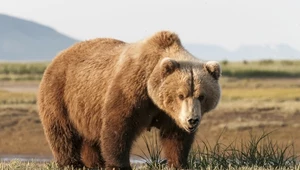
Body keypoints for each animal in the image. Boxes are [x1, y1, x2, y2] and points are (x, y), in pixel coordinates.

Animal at [37, 30, 221, 170]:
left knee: (90, 137)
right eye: (180, 95)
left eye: (201, 96)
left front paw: (179, 163)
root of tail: (58, 56)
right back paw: (71, 163)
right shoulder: (132, 89)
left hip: (86, 109)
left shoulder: (172, 114)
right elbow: (119, 126)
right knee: (62, 133)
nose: (192, 120)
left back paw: (94, 163)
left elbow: (176, 137)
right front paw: (119, 165)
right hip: (60, 94)